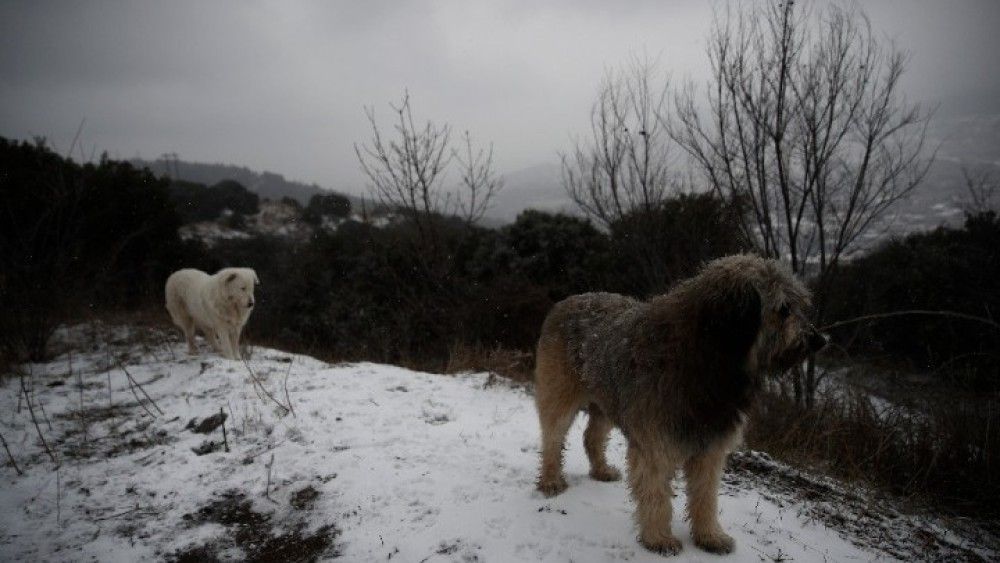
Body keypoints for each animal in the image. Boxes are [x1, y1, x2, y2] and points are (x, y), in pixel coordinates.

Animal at [536, 256, 824, 556]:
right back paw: (551, 479)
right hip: (559, 393)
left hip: (607, 400)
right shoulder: (656, 443)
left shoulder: (710, 447)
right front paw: (658, 538)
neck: (709, 358)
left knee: (592, 436)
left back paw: (601, 470)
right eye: (784, 309)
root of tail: (568, 300)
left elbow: (705, 496)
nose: (819, 340)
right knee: (552, 437)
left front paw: (710, 535)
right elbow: (656, 493)